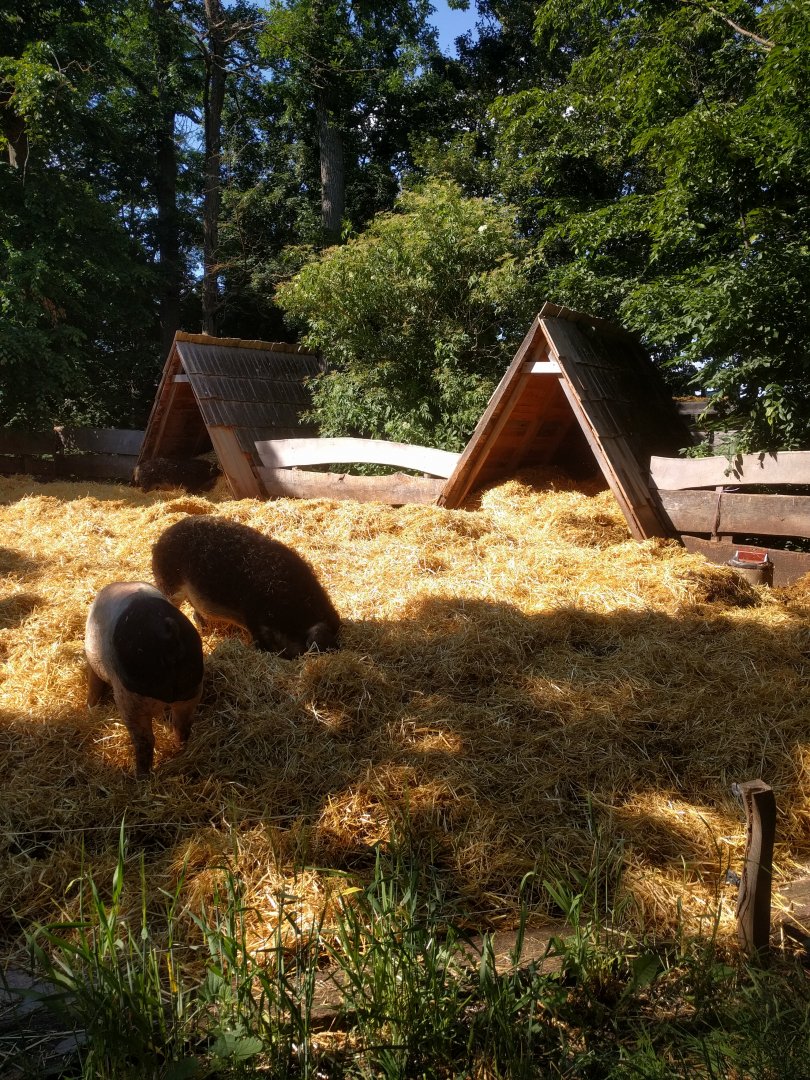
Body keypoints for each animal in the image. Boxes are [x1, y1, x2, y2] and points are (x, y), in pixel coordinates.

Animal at [84, 582, 204, 777]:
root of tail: (167, 636)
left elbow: (93, 685)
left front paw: (89, 708)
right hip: (191, 690)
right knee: (182, 727)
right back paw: (179, 755)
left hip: (131, 700)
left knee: (145, 741)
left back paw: (139, 776)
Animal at [151, 515, 340, 659]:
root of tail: (160, 539)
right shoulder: (252, 615)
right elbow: (260, 641)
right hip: (168, 584)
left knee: (196, 613)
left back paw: (205, 632)